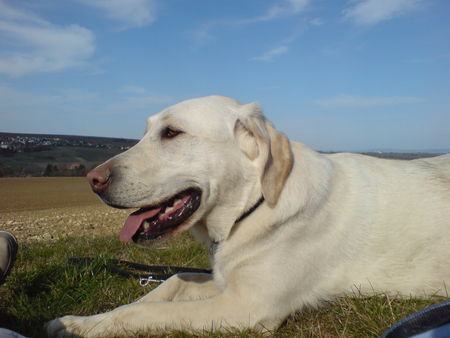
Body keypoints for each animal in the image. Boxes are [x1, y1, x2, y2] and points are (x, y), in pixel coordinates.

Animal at [46, 94, 450, 336]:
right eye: (145, 133)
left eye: (172, 132)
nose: (92, 180)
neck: (250, 208)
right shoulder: (226, 283)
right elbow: (168, 284)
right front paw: (82, 322)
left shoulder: (248, 306)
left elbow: (144, 314)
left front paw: (82, 326)